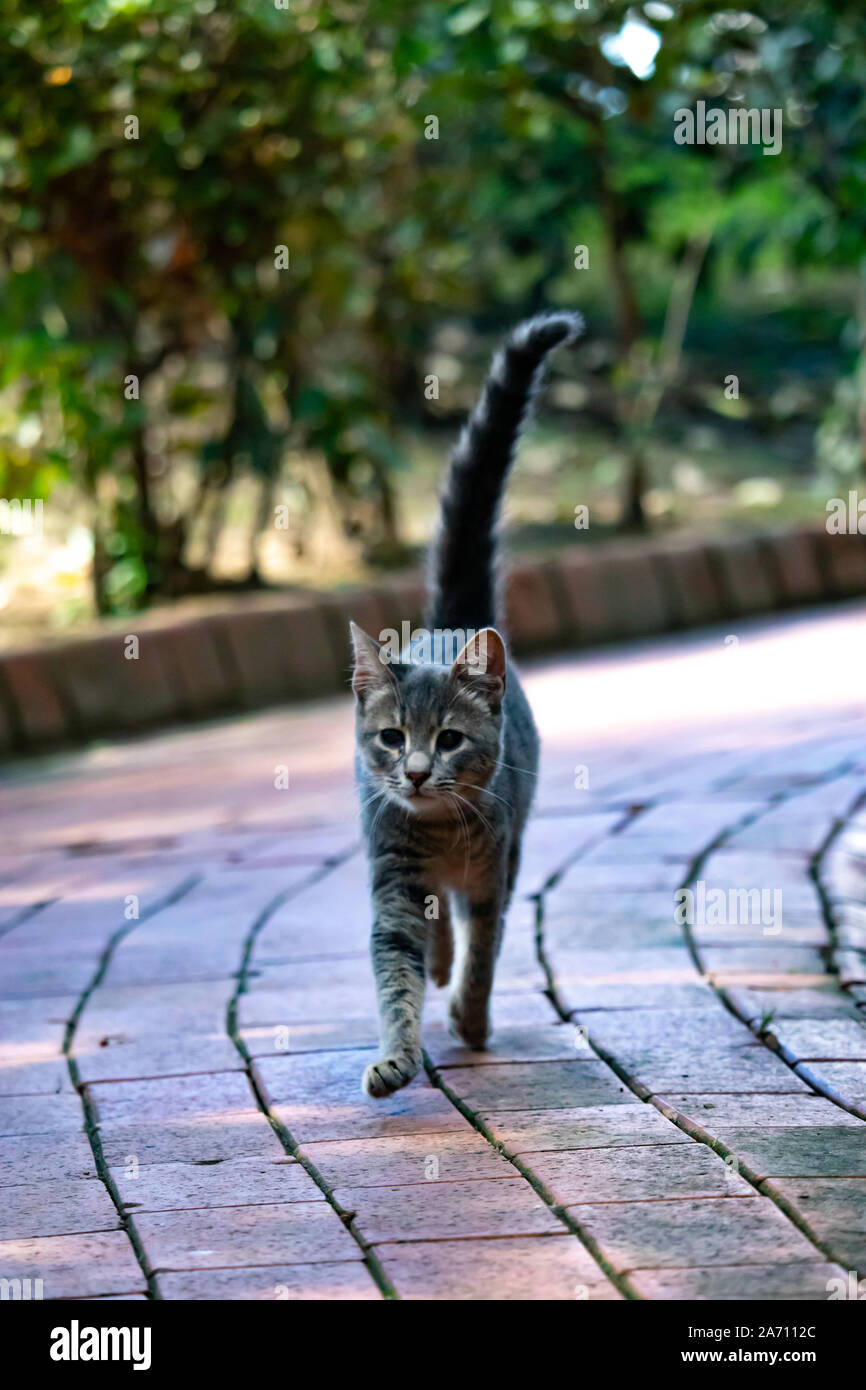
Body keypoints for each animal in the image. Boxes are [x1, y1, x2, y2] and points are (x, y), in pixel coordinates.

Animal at [350, 315, 583, 1095]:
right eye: (393, 738)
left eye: (448, 739)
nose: (418, 773)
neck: (443, 836)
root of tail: (453, 621)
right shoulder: (393, 884)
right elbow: (397, 974)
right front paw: (396, 1055)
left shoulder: (493, 870)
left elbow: (486, 952)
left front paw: (472, 1023)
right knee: (437, 931)